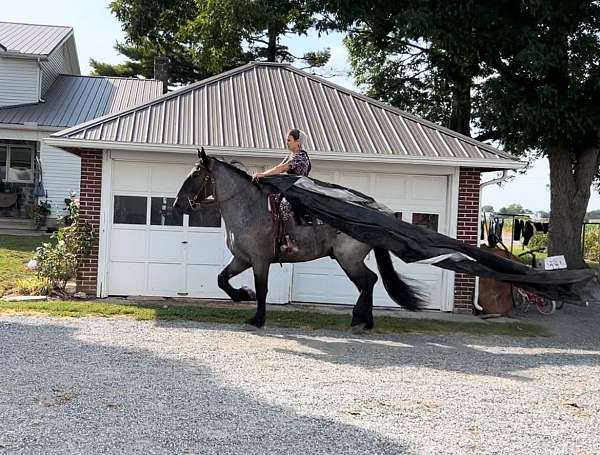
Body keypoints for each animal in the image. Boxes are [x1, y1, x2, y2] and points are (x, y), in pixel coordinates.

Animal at [171, 150, 420, 332]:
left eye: (195, 174)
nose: (177, 204)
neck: (248, 208)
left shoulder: (259, 260)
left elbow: (262, 289)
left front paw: (257, 319)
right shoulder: (242, 259)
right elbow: (222, 280)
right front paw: (243, 295)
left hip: (349, 259)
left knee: (368, 281)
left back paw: (360, 319)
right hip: (349, 260)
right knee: (367, 283)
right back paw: (364, 321)